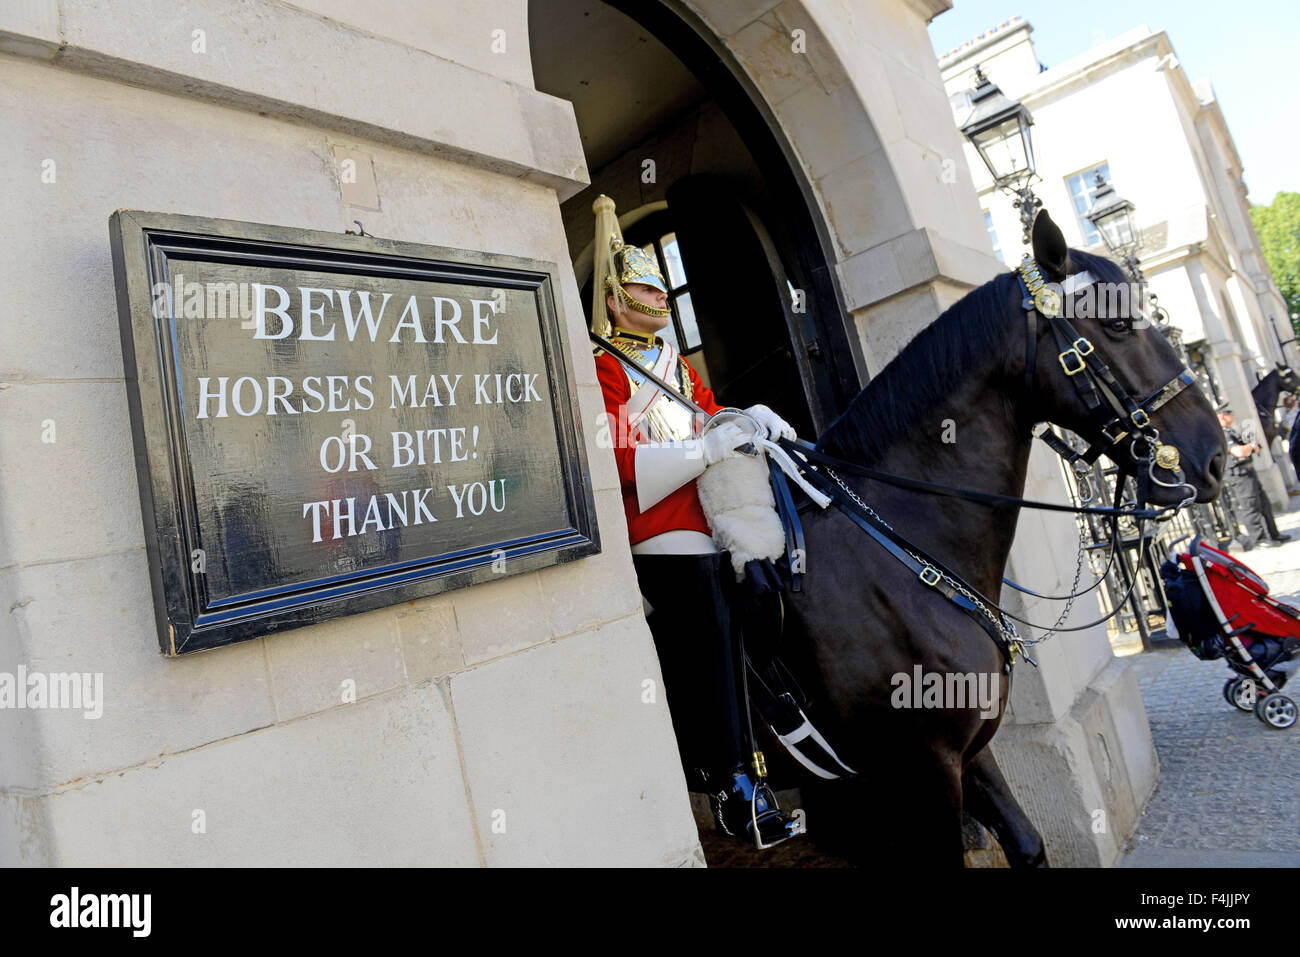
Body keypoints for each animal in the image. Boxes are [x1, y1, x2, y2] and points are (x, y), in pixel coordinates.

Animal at [759, 210, 1216, 868]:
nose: (1214, 455)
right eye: (1118, 324)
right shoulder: (923, 771)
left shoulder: (967, 750)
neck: (899, 546)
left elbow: (1026, 841)